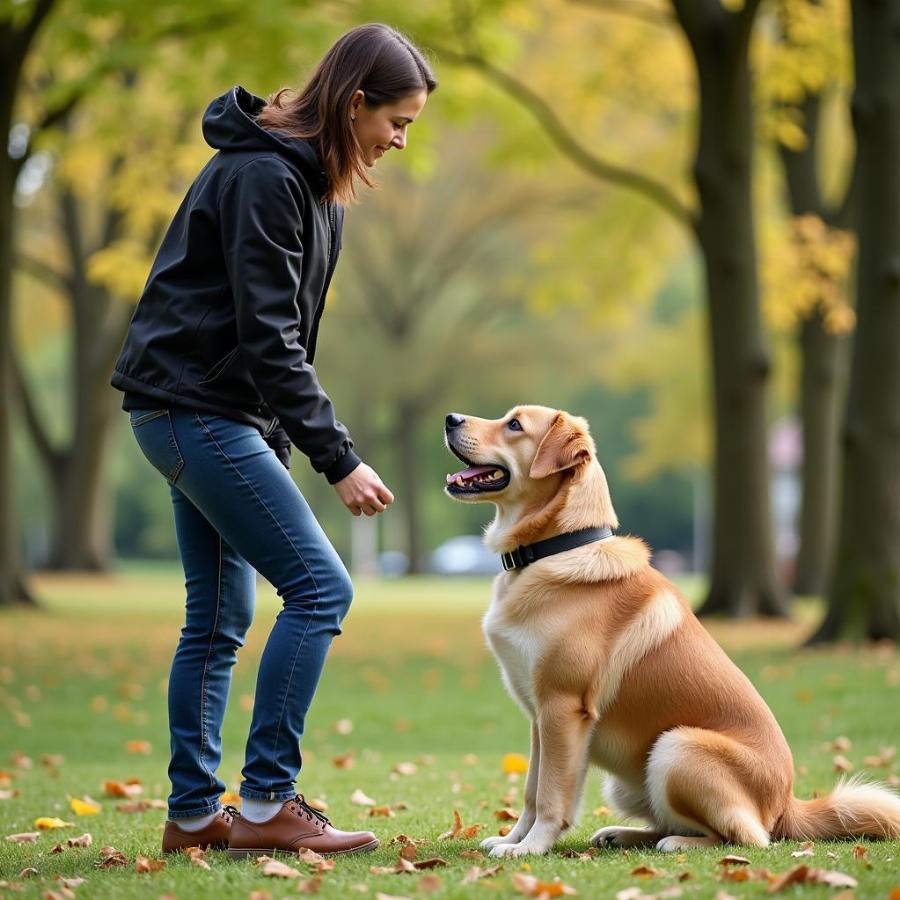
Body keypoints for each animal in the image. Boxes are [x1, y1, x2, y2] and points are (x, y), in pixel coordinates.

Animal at [442, 406, 900, 856]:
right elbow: (532, 791)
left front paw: (532, 847)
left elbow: (552, 793)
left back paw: (677, 843)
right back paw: (624, 835)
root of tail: (786, 805)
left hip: (676, 747)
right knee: (672, 822)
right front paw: (512, 839)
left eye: (514, 424)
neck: (557, 548)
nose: (450, 419)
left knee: (744, 836)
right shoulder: (540, 717)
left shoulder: (562, 707)